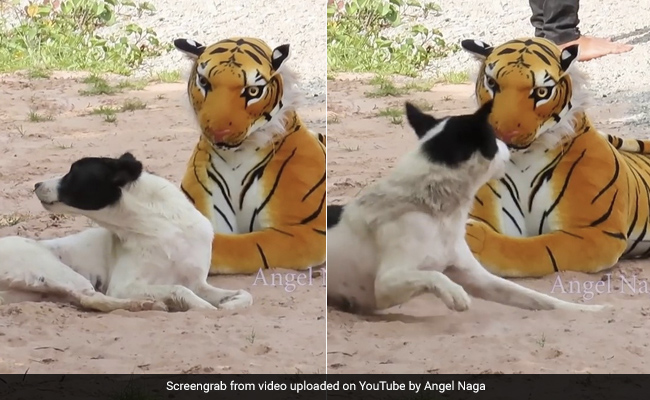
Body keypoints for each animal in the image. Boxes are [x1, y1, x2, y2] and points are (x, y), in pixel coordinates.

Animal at [172, 37, 326, 275]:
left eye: (253, 91)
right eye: (204, 83)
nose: (218, 131)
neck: (236, 157)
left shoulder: (304, 230)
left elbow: (238, 246)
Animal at [459, 37, 650, 278]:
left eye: (541, 92)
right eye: (492, 84)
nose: (503, 133)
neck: (523, 159)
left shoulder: (596, 232)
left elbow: (533, 249)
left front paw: (475, 239)